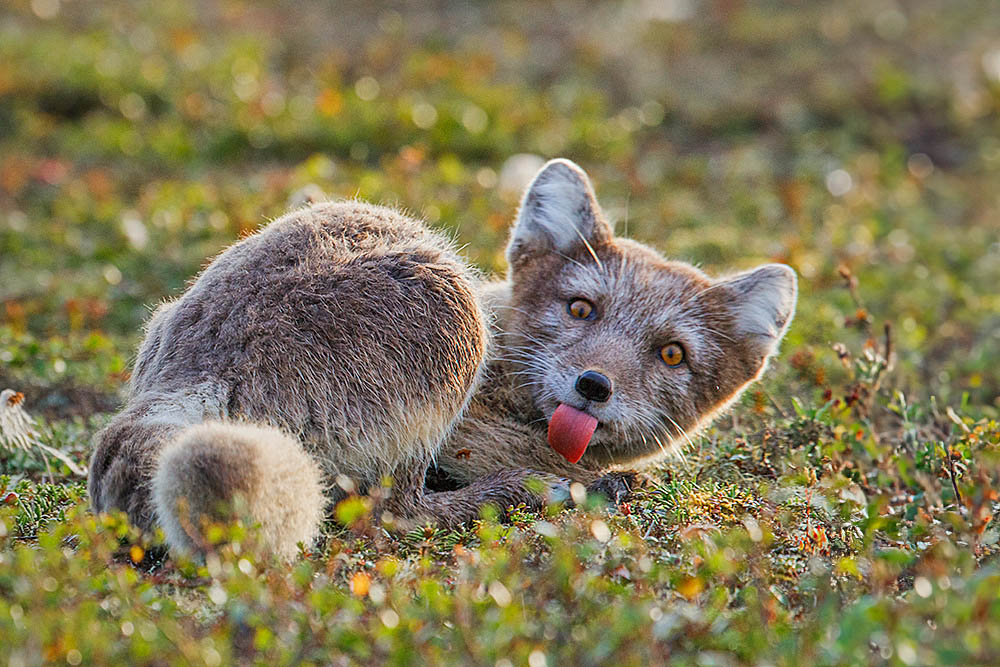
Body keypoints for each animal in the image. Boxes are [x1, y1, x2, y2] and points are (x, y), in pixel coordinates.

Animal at [92, 158, 796, 560]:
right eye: (581, 309)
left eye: (671, 353)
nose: (593, 385)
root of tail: (201, 368)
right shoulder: (473, 426)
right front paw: (589, 479)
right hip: (448, 309)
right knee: (393, 514)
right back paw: (535, 493)